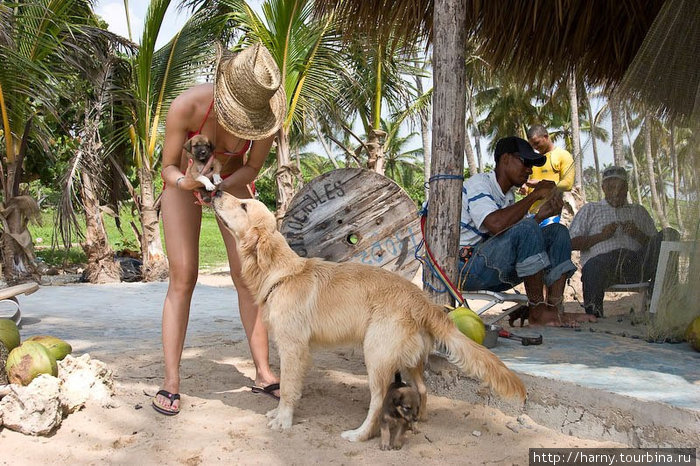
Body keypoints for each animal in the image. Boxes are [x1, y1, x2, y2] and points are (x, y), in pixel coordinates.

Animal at [213, 191, 524, 442]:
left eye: (243, 205)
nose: (215, 191)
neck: (280, 273)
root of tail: (422, 301)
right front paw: (277, 415)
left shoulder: (293, 348)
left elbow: (289, 388)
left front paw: (283, 420)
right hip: (410, 361)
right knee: (423, 389)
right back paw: (419, 420)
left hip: (375, 354)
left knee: (378, 402)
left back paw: (360, 434)